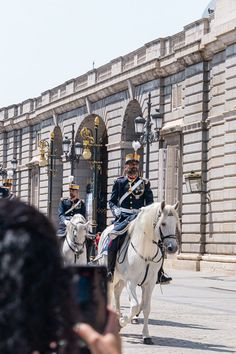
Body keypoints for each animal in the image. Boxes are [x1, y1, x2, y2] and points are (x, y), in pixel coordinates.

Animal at [97, 202, 180, 342]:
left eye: (175, 223)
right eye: (163, 223)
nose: (172, 248)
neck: (146, 251)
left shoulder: (149, 283)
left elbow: (146, 308)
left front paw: (146, 335)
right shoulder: (131, 282)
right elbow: (135, 306)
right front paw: (122, 322)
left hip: (121, 279)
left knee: (117, 293)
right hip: (112, 277)